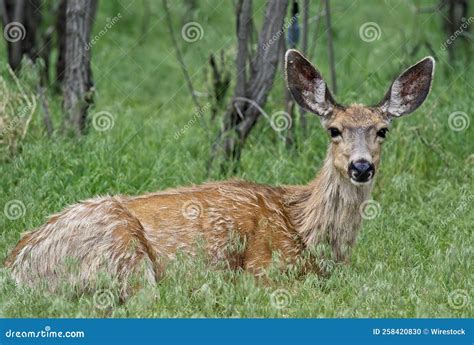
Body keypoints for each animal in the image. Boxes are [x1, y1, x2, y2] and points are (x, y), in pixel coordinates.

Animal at [3, 50, 436, 296]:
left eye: (382, 130)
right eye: (334, 130)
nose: (361, 166)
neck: (305, 230)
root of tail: (16, 269)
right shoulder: (265, 270)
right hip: (123, 252)